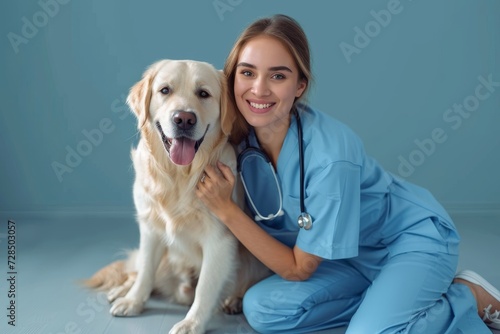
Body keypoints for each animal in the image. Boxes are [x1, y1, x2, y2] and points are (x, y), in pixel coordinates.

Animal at [87, 60, 272, 334]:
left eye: (203, 94)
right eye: (165, 90)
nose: (184, 118)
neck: (179, 177)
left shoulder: (219, 239)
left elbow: (205, 287)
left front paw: (191, 323)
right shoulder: (150, 227)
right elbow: (146, 271)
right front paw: (133, 301)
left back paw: (234, 300)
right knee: (139, 270)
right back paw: (123, 290)